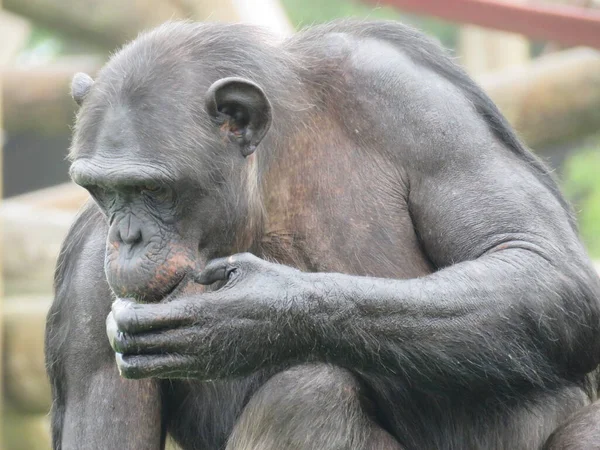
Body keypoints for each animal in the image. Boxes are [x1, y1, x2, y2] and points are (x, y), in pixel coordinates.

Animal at [45, 20, 600, 450]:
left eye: (153, 189)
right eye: (103, 190)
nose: (127, 237)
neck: (268, 180)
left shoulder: (414, 98)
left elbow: (533, 255)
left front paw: (254, 314)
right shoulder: (86, 289)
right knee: (307, 398)